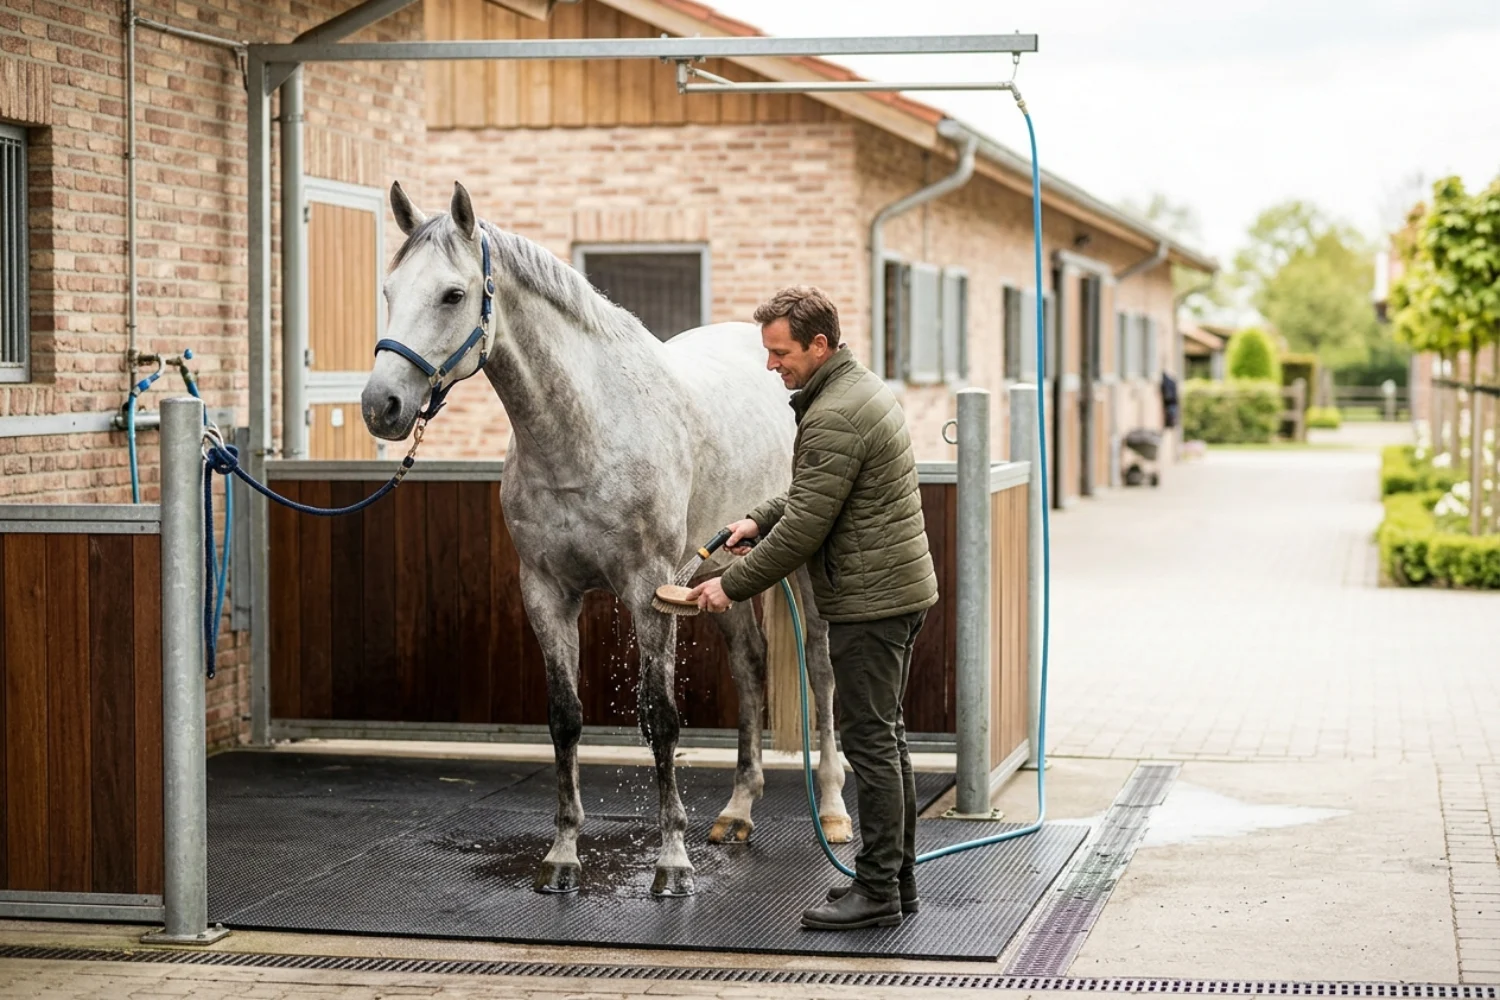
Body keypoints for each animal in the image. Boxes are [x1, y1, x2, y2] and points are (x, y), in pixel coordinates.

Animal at [361, 181, 852, 896]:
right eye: (390, 290)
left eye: (452, 294)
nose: (382, 406)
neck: (587, 430)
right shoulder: (546, 592)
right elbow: (565, 718)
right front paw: (563, 856)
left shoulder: (649, 590)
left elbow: (661, 718)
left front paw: (672, 864)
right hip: (719, 571)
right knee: (751, 664)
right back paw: (737, 810)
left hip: (801, 569)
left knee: (820, 670)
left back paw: (836, 811)